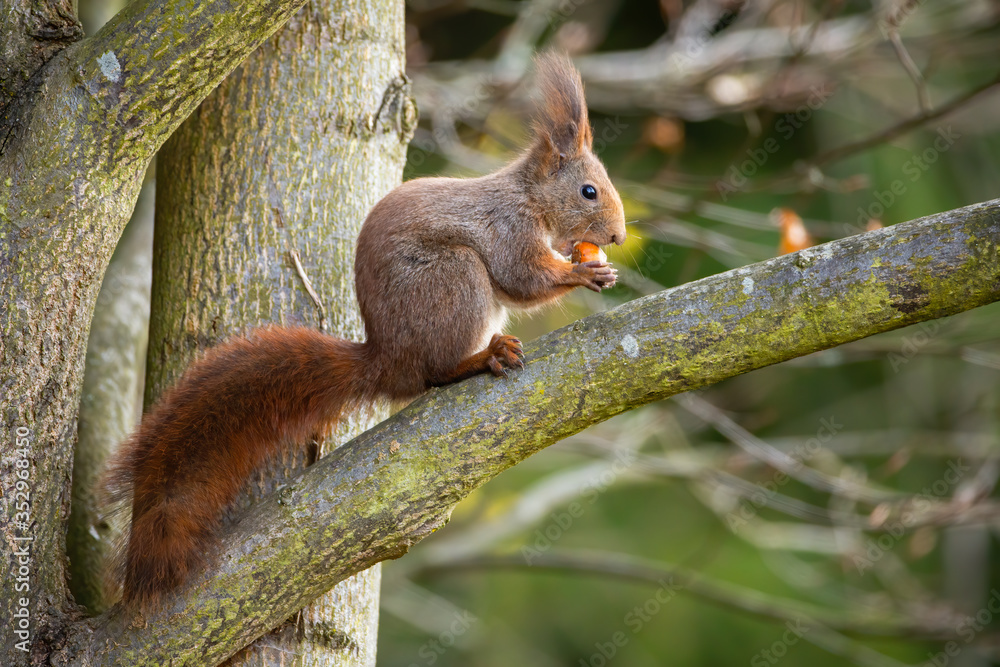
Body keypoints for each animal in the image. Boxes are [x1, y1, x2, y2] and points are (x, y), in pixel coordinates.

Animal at [106, 52, 626, 610]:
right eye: (589, 191)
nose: (618, 236)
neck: (529, 197)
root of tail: (386, 360)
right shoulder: (508, 229)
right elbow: (522, 278)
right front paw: (583, 272)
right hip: (454, 281)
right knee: (434, 373)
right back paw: (482, 358)